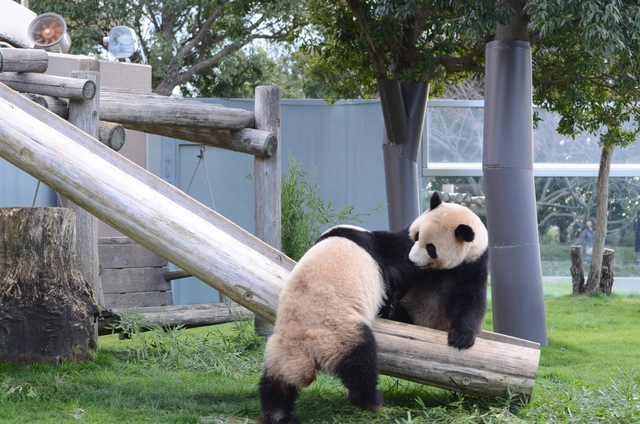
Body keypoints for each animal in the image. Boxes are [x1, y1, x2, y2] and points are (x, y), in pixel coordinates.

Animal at [255, 224, 424, 422]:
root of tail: (305, 347)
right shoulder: (377, 254)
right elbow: (397, 263)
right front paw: (389, 309)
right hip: (340, 336)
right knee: (361, 362)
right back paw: (371, 400)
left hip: (278, 353)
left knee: (275, 386)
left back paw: (278, 415)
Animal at [390, 193, 490, 352]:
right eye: (417, 236)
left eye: (431, 248)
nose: (412, 260)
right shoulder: (404, 240)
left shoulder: (473, 264)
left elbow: (469, 298)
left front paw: (461, 338)